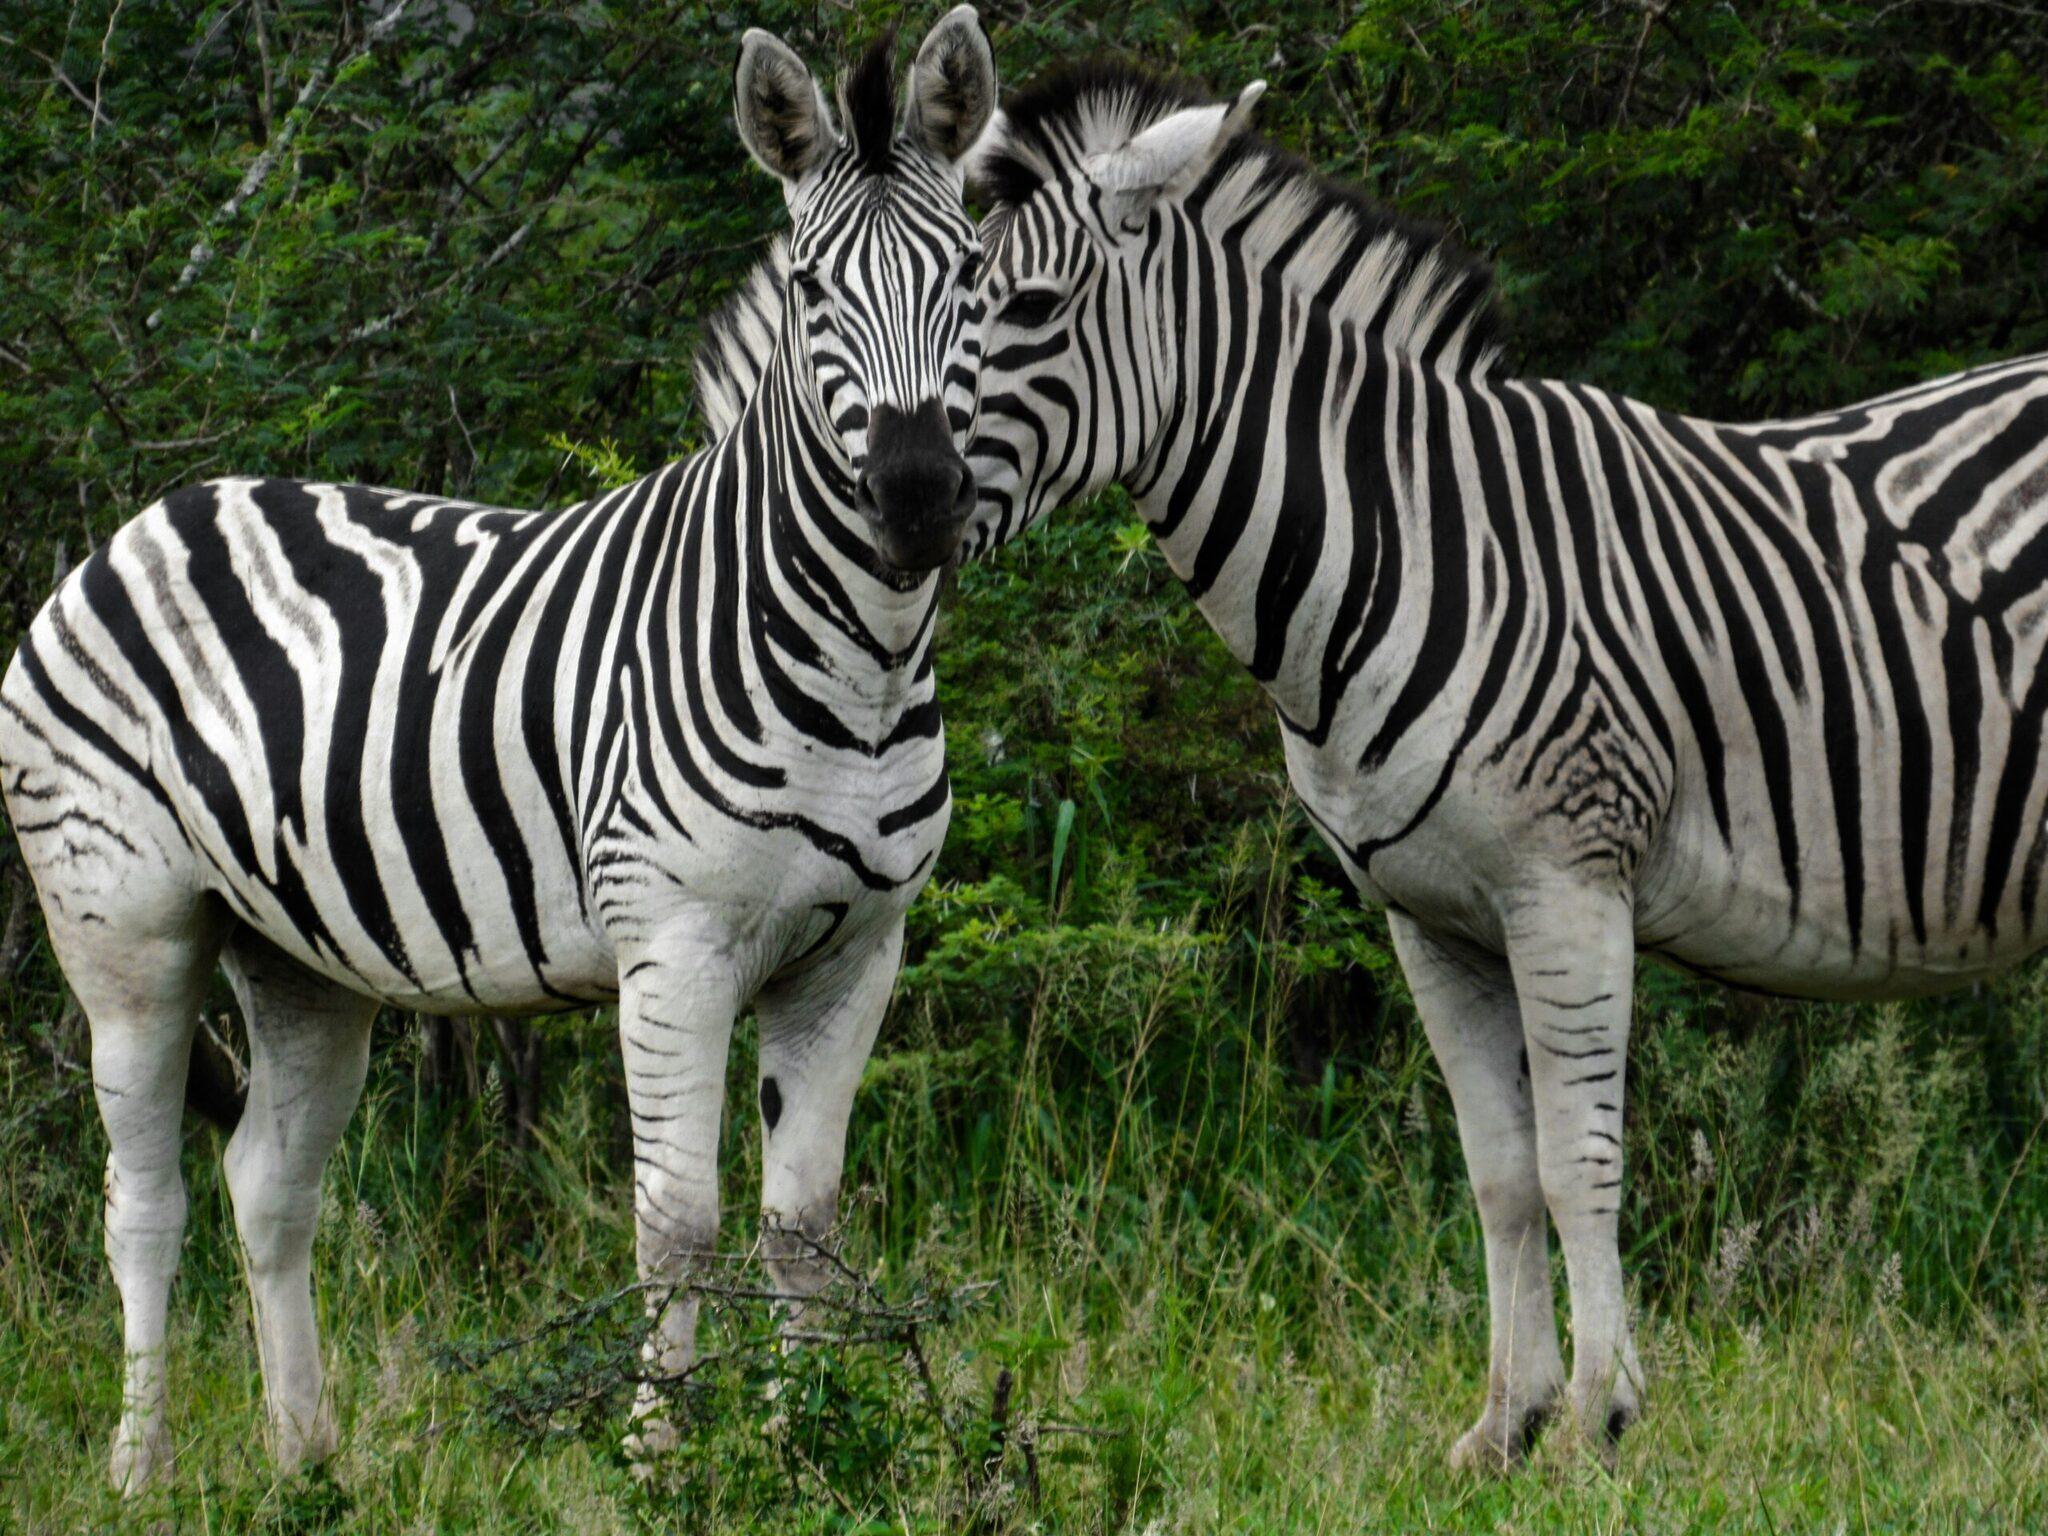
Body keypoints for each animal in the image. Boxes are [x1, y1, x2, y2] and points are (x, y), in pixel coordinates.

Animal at [0, 12, 997, 1490]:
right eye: (815, 290)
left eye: (973, 273)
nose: (918, 499)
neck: (852, 662)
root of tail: (149, 516)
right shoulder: (673, 946)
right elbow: (677, 1226)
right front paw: (656, 1463)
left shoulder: (856, 951)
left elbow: (802, 1231)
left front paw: (805, 1453)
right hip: (123, 925)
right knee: (144, 1202)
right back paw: (140, 1472)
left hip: (297, 956)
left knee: (265, 1189)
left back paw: (309, 1462)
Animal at [950, 63, 2048, 1468]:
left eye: (1030, 308)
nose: (886, 495)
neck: (1405, 542)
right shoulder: (1428, 916)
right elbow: (1499, 1171)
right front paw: (1503, 1426)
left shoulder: (1566, 879)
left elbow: (1583, 1164)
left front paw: (1595, 1420)